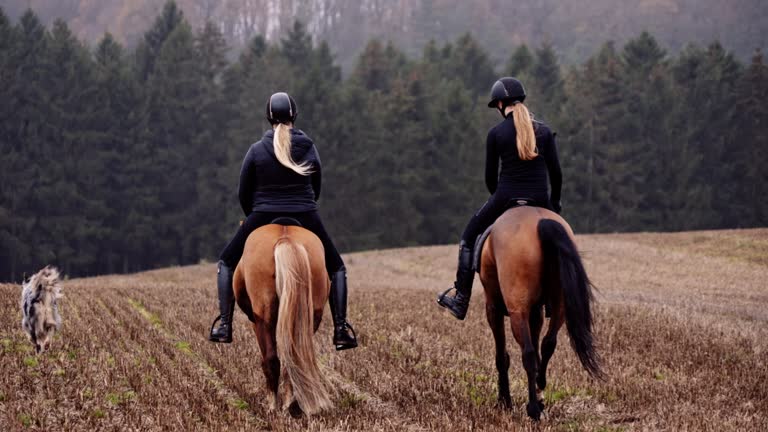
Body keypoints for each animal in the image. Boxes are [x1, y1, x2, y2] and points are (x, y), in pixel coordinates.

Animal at [232, 221, 332, 416]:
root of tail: (286, 240)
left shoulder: (256, 321)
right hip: (311, 316)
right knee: (293, 359)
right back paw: (289, 405)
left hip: (263, 316)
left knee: (272, 360)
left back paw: (273, 408)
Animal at [480, 206, 600, 422]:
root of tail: (540, 220)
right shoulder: (536, 310)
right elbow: (538, 346)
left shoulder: (493, 307)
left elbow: (502, 356)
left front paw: (504, 401)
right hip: (559, 304)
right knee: (548, 343)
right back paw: (540, 387)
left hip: (517, 309)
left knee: (527, 353)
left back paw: (533, 409)